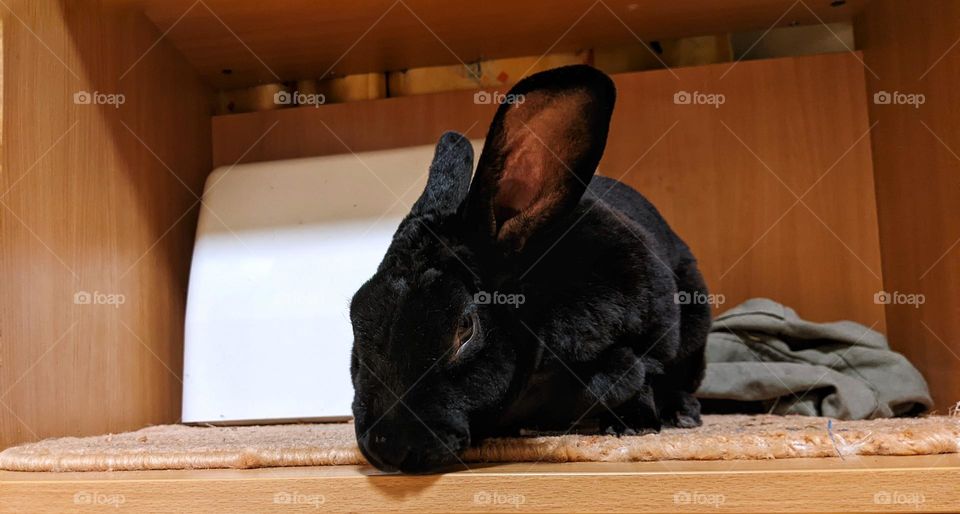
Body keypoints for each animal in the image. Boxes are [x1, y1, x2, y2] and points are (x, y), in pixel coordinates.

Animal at [348, 64, 708, 472]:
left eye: (465, 329)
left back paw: (682, 414)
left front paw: (635, 425)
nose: (388, 447)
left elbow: (640, 376)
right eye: (355, 315)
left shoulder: (654, 336)